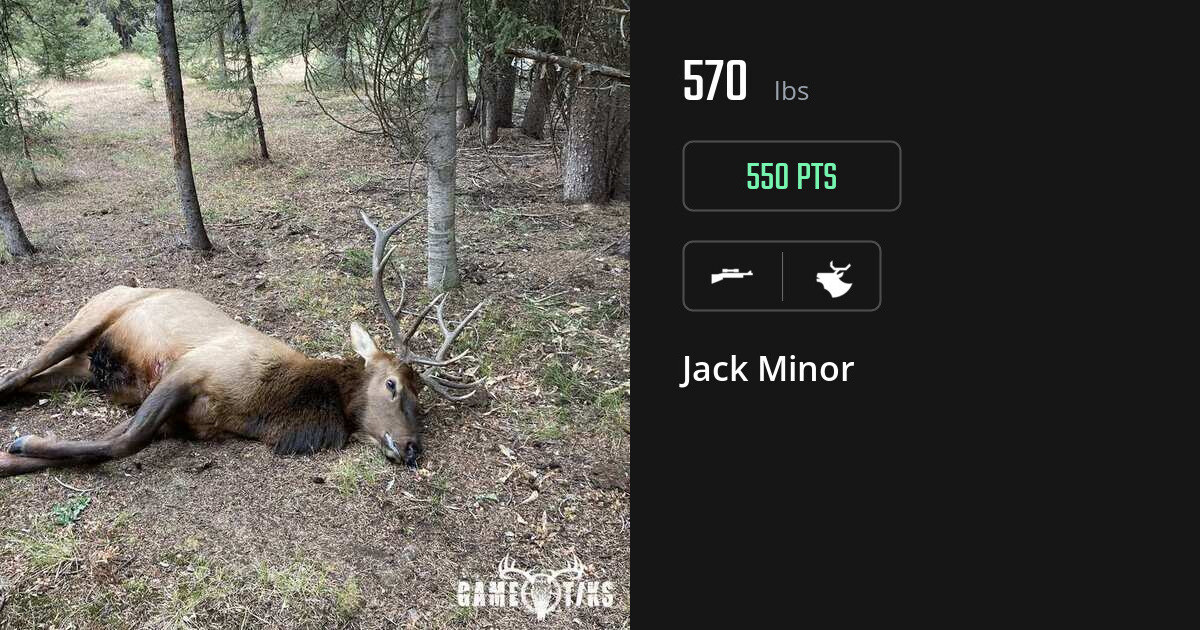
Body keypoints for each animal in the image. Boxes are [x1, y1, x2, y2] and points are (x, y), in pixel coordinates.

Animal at [0, 210, 483, 478]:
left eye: (423, 402)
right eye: (391, 385)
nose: (413, 448)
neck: (264, 408)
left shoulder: (185, 420)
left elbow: (108, 439)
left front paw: (15, 455)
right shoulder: (188, 370)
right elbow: (121, 443)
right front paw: (22, 444)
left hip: (87, 369)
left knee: (28, 381)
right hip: (89, 318)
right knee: (17, 372)